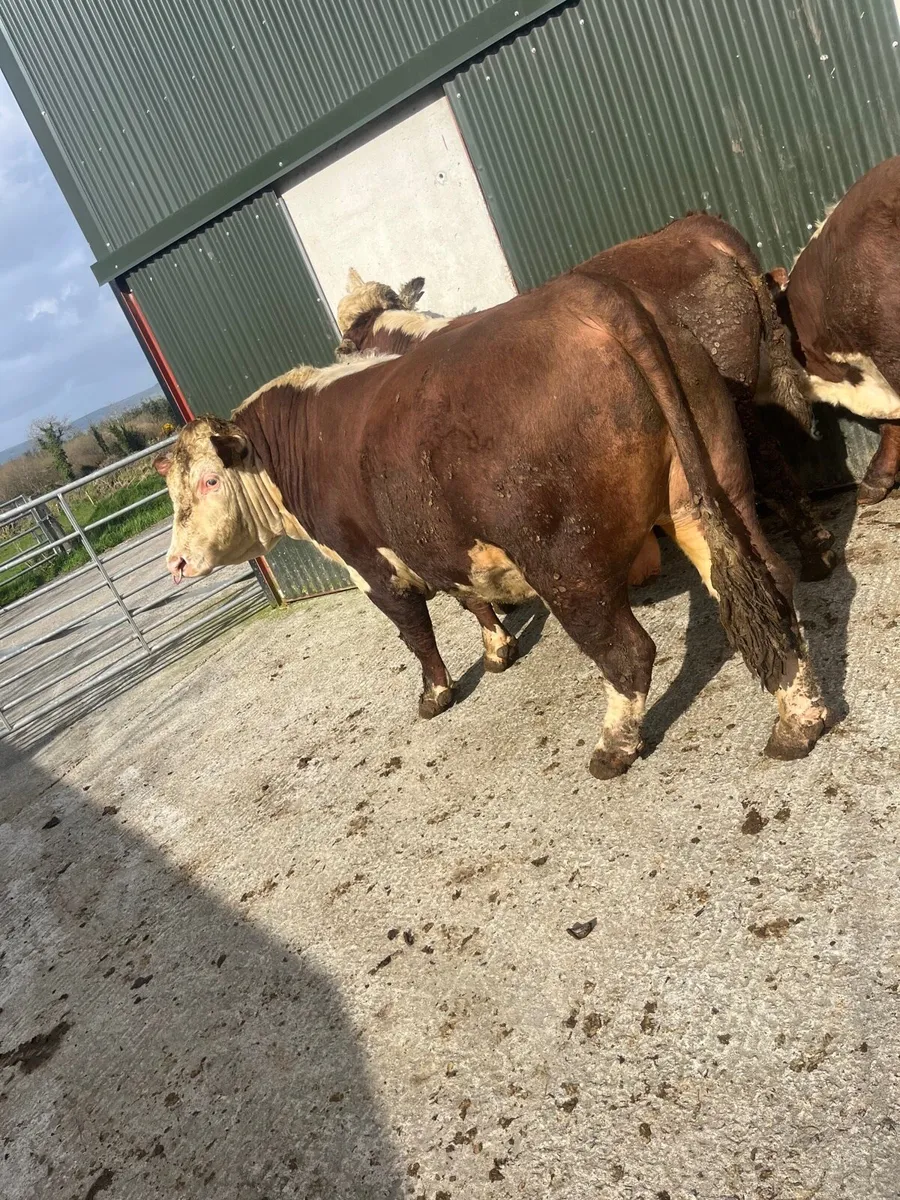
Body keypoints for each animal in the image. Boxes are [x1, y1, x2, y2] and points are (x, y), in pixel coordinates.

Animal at [157, 271, 827, 779]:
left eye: (208, 481)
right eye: (170, 489)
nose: (176, 563)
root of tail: (592, 297)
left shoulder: (372, 563)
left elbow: (416, 632)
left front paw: (436, 694)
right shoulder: (438, 540)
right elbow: (468, 594)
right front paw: (498, 648)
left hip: (562, 559)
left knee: (628, 650)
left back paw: (614, 748)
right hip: (709, 490)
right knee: (769, 587)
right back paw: (799, 720)